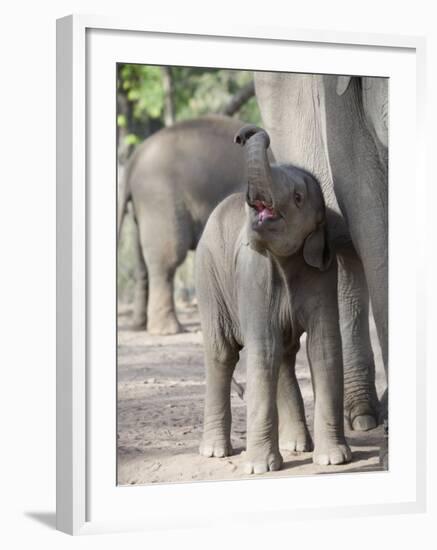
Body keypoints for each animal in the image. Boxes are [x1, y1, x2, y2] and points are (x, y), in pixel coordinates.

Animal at [118, 115, 249, 336]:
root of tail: (133, 161)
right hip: (159, 199)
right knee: (167, 259)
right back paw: (167, 330)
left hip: (141, 209)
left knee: (142, 262)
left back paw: (139, 326)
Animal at [196, 125, 352, 474]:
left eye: (297, 197)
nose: (244, 133)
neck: (285, 260)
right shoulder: (253, 275)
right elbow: (262, 347)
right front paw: (258, 469)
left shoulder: (323, 273)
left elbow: (323, 346)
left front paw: (334, 459)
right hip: (209, 278)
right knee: (222, 353)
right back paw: (215, 452)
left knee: (283, 354)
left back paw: (297, 446)